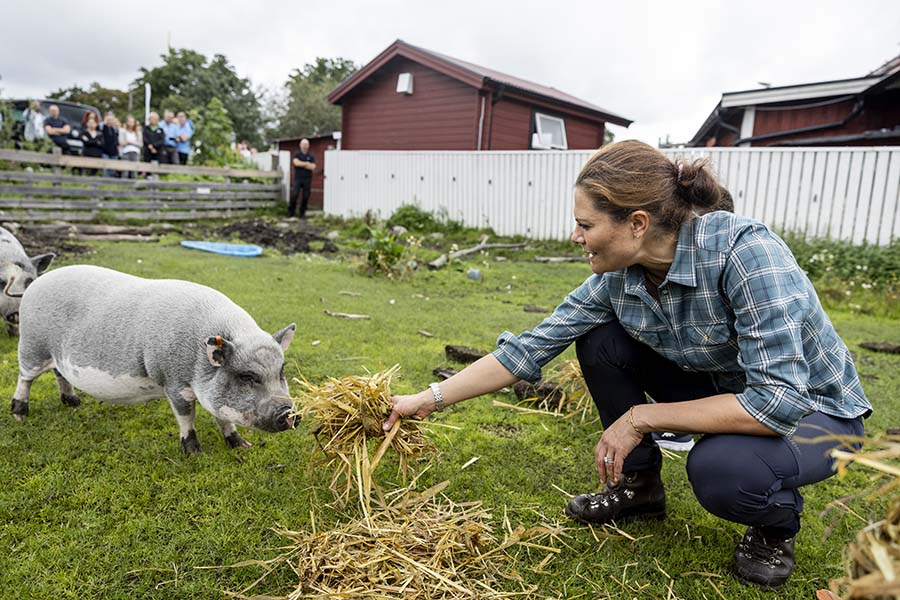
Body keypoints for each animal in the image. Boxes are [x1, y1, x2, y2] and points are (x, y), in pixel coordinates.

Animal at [11, 266, 298, 454]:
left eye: (281, 372)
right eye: (247, 377)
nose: (289, 412)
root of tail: (37, 282)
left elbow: (223, 418)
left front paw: (244, 447)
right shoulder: (174, 383)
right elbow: (187, 418)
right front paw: (195, 453)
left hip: (57, 356)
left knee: (59, 373)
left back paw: (73, 403)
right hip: (32, 346)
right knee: (25, 378)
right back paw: (19, 416)